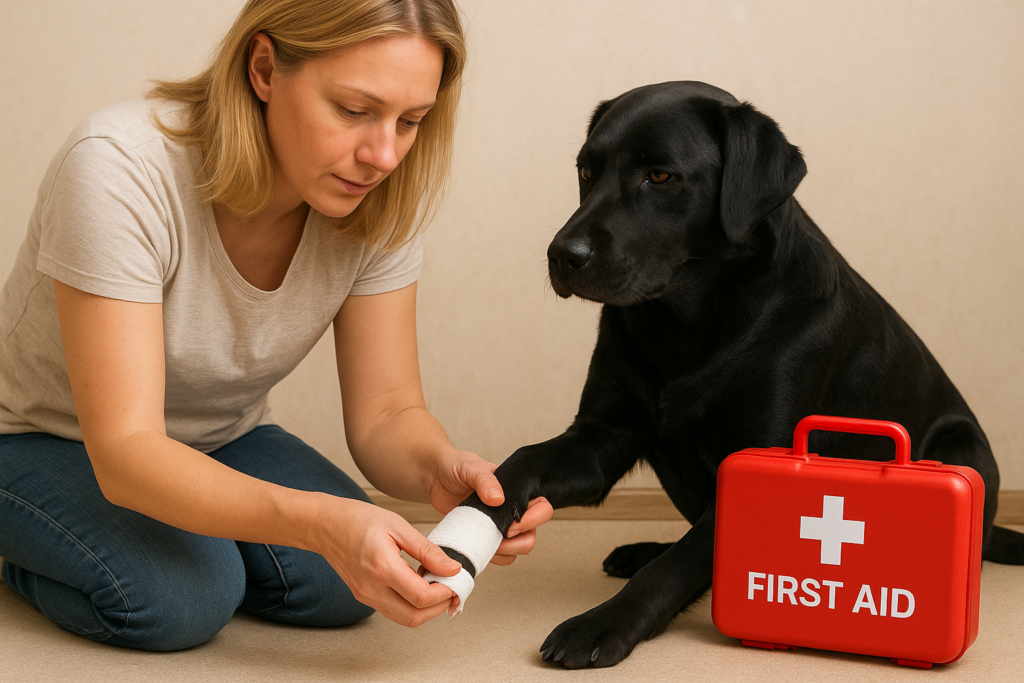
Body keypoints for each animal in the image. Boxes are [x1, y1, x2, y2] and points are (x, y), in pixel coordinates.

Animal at [454, 81, 1024, 668]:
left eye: (660, 176)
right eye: (587, 171)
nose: (561, 255)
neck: (683, 324)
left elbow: (673, 569)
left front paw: (600, 624)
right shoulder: (601, 438)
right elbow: (520, 463)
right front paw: (468, 526)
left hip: (961, 448)